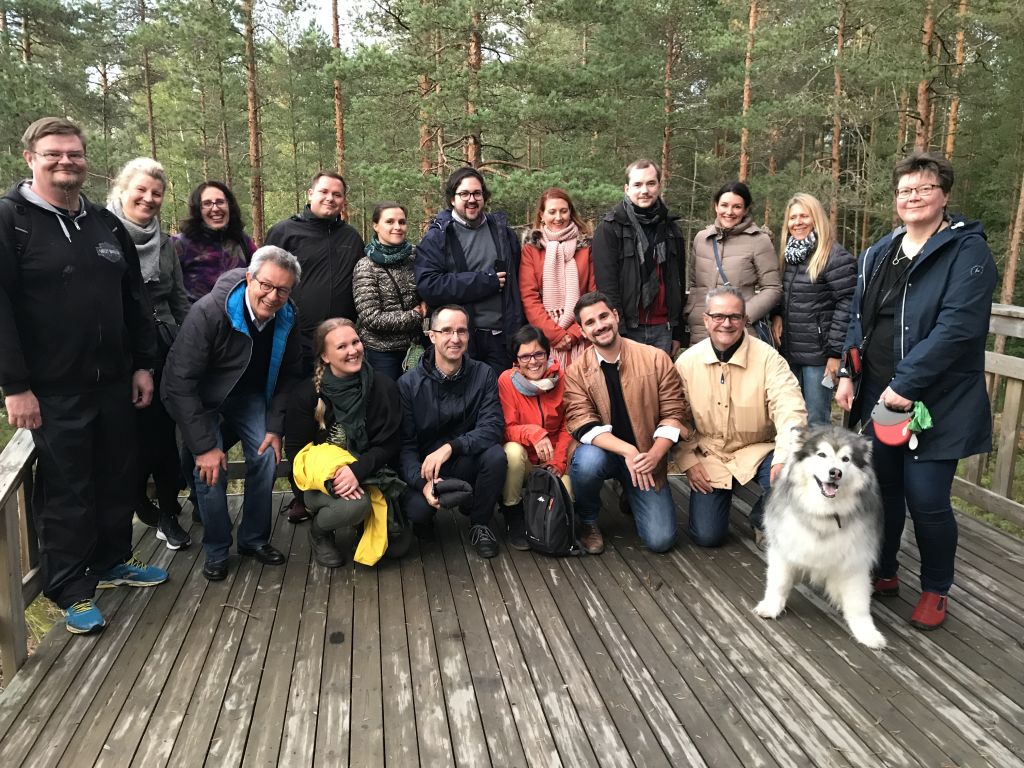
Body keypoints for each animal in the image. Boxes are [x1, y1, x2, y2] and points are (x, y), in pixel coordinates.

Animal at [753, 423, 888, 651]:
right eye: (822, 454)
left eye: (846, 459)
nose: (835, 473)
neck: (825, 512)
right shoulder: (784, 546)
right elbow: (779, 582)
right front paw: (770, 607)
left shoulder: (856, 560)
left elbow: (858, 603)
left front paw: (868, 633)